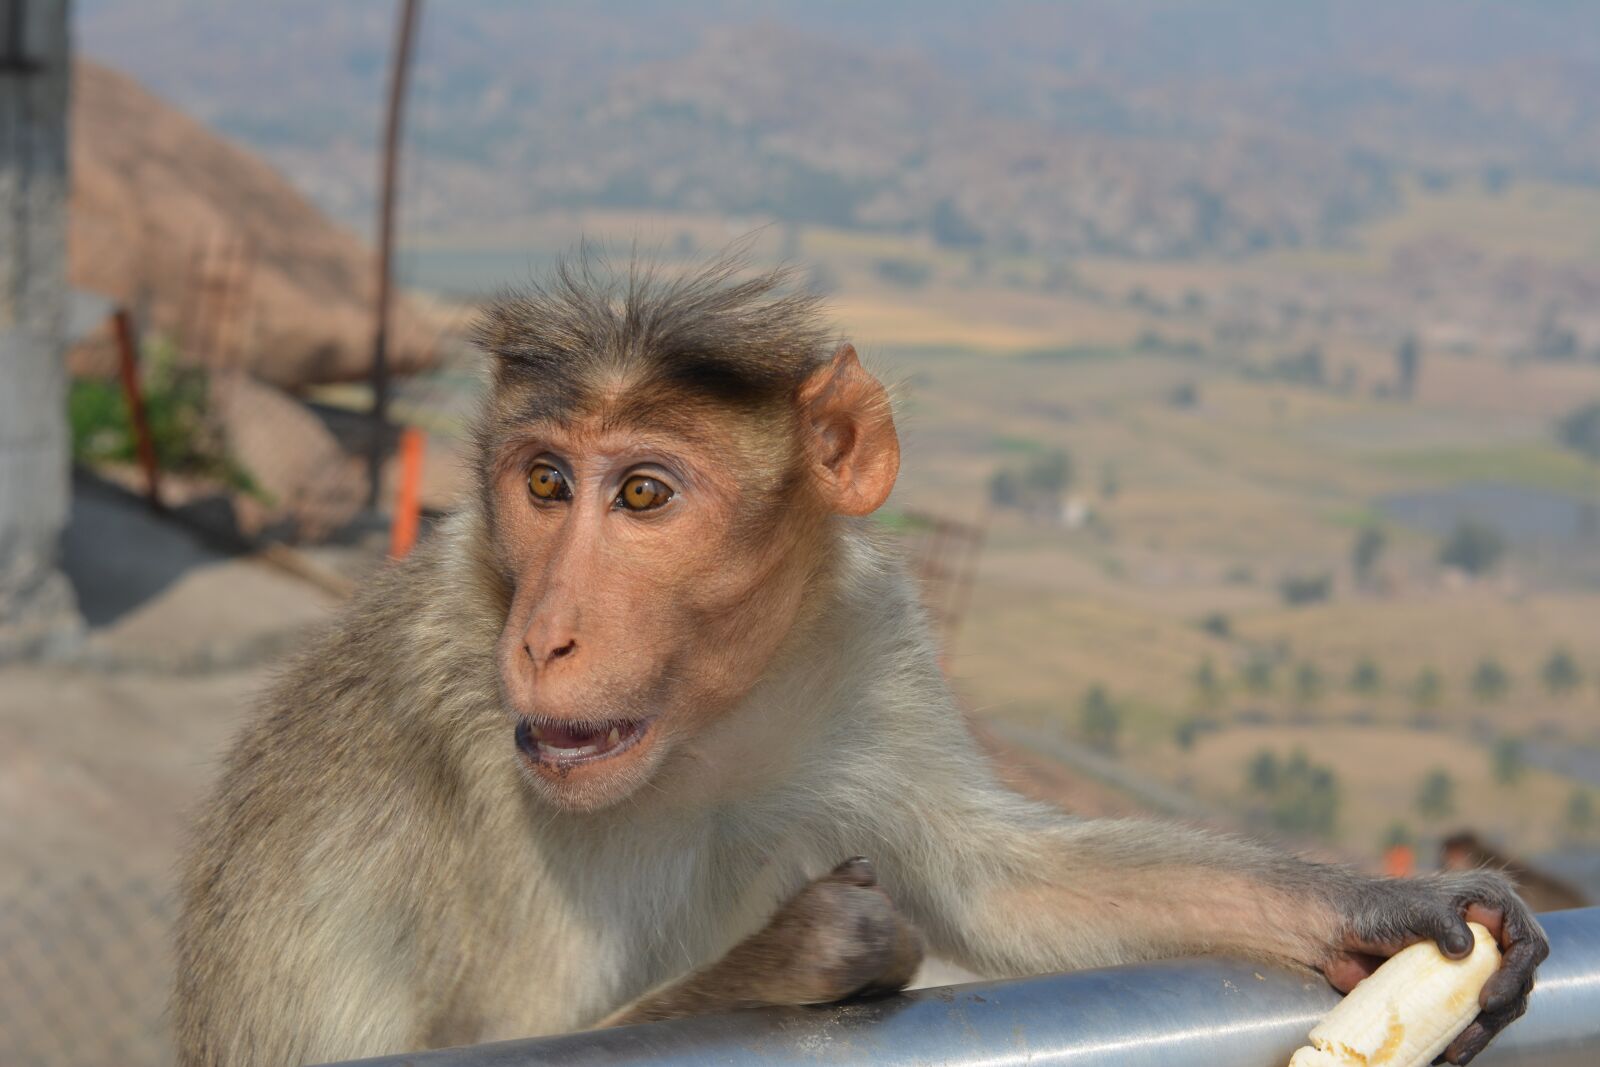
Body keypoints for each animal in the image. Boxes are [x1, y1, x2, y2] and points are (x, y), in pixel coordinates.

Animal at [174, 254, 1546, 1067]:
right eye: (546, 484)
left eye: (642, 493)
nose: (543, 632)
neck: (703, 732)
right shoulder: (458, 724)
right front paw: (813, 948)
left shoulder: (865, 641)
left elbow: (1003, 884)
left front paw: (1382, 906)